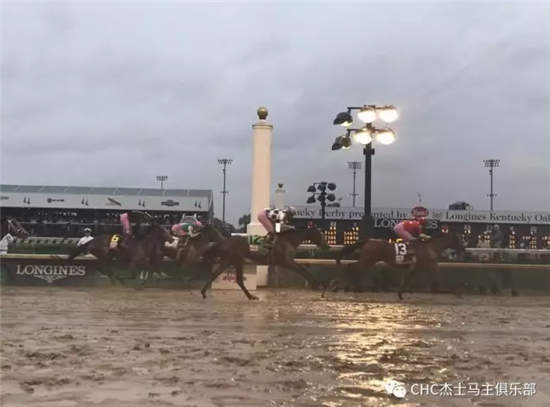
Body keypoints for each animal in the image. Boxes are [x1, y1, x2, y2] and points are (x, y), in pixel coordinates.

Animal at [200, 225, 330, 300]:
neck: (288, 241)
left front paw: (316, 285)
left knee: (217, 274)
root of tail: (224, 241)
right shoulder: (286, 262)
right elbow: (302, 269)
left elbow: (303, 269)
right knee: (237, 280)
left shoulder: (287, 262)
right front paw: (317, 285)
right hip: (235, 261)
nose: (327, 246)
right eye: (321, 235)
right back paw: (251, 296)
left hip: (230, 261)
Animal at [330, 232, 466, 300]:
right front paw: (457, 293)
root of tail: (368, 241)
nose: (464, 250)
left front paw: (400, 294)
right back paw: (344, 286)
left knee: (352, 266)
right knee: (353, 267)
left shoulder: (414, 269)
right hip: (368, 260)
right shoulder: (432, 266)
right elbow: (440, 281)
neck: (430, 247)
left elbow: (407, 281)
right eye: (460, 240)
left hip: (367, 260)